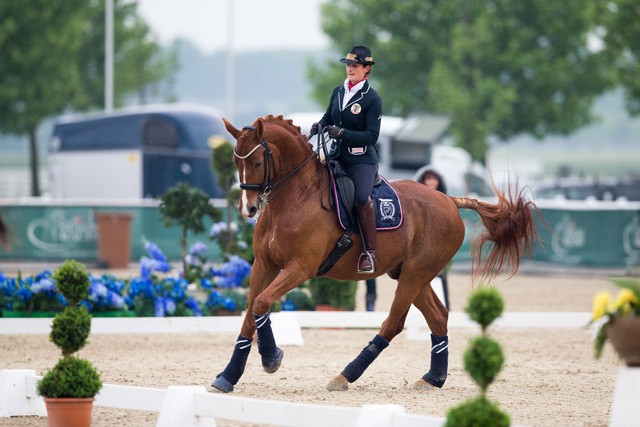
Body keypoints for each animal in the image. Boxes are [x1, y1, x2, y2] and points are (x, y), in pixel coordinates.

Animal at [212, 114, 536, 394]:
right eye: (235, 161)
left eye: (256, 161)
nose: (248, 208)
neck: (295, 198)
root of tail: (448, 200)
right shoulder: (264, 265)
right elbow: (251, 313)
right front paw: (228, 376)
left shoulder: (300, 268)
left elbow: (262, 303)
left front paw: (271, 358)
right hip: (412, 274)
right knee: (438, 316)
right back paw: (433, 378)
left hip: (415, 274)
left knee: (393, 324)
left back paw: (344, 376)